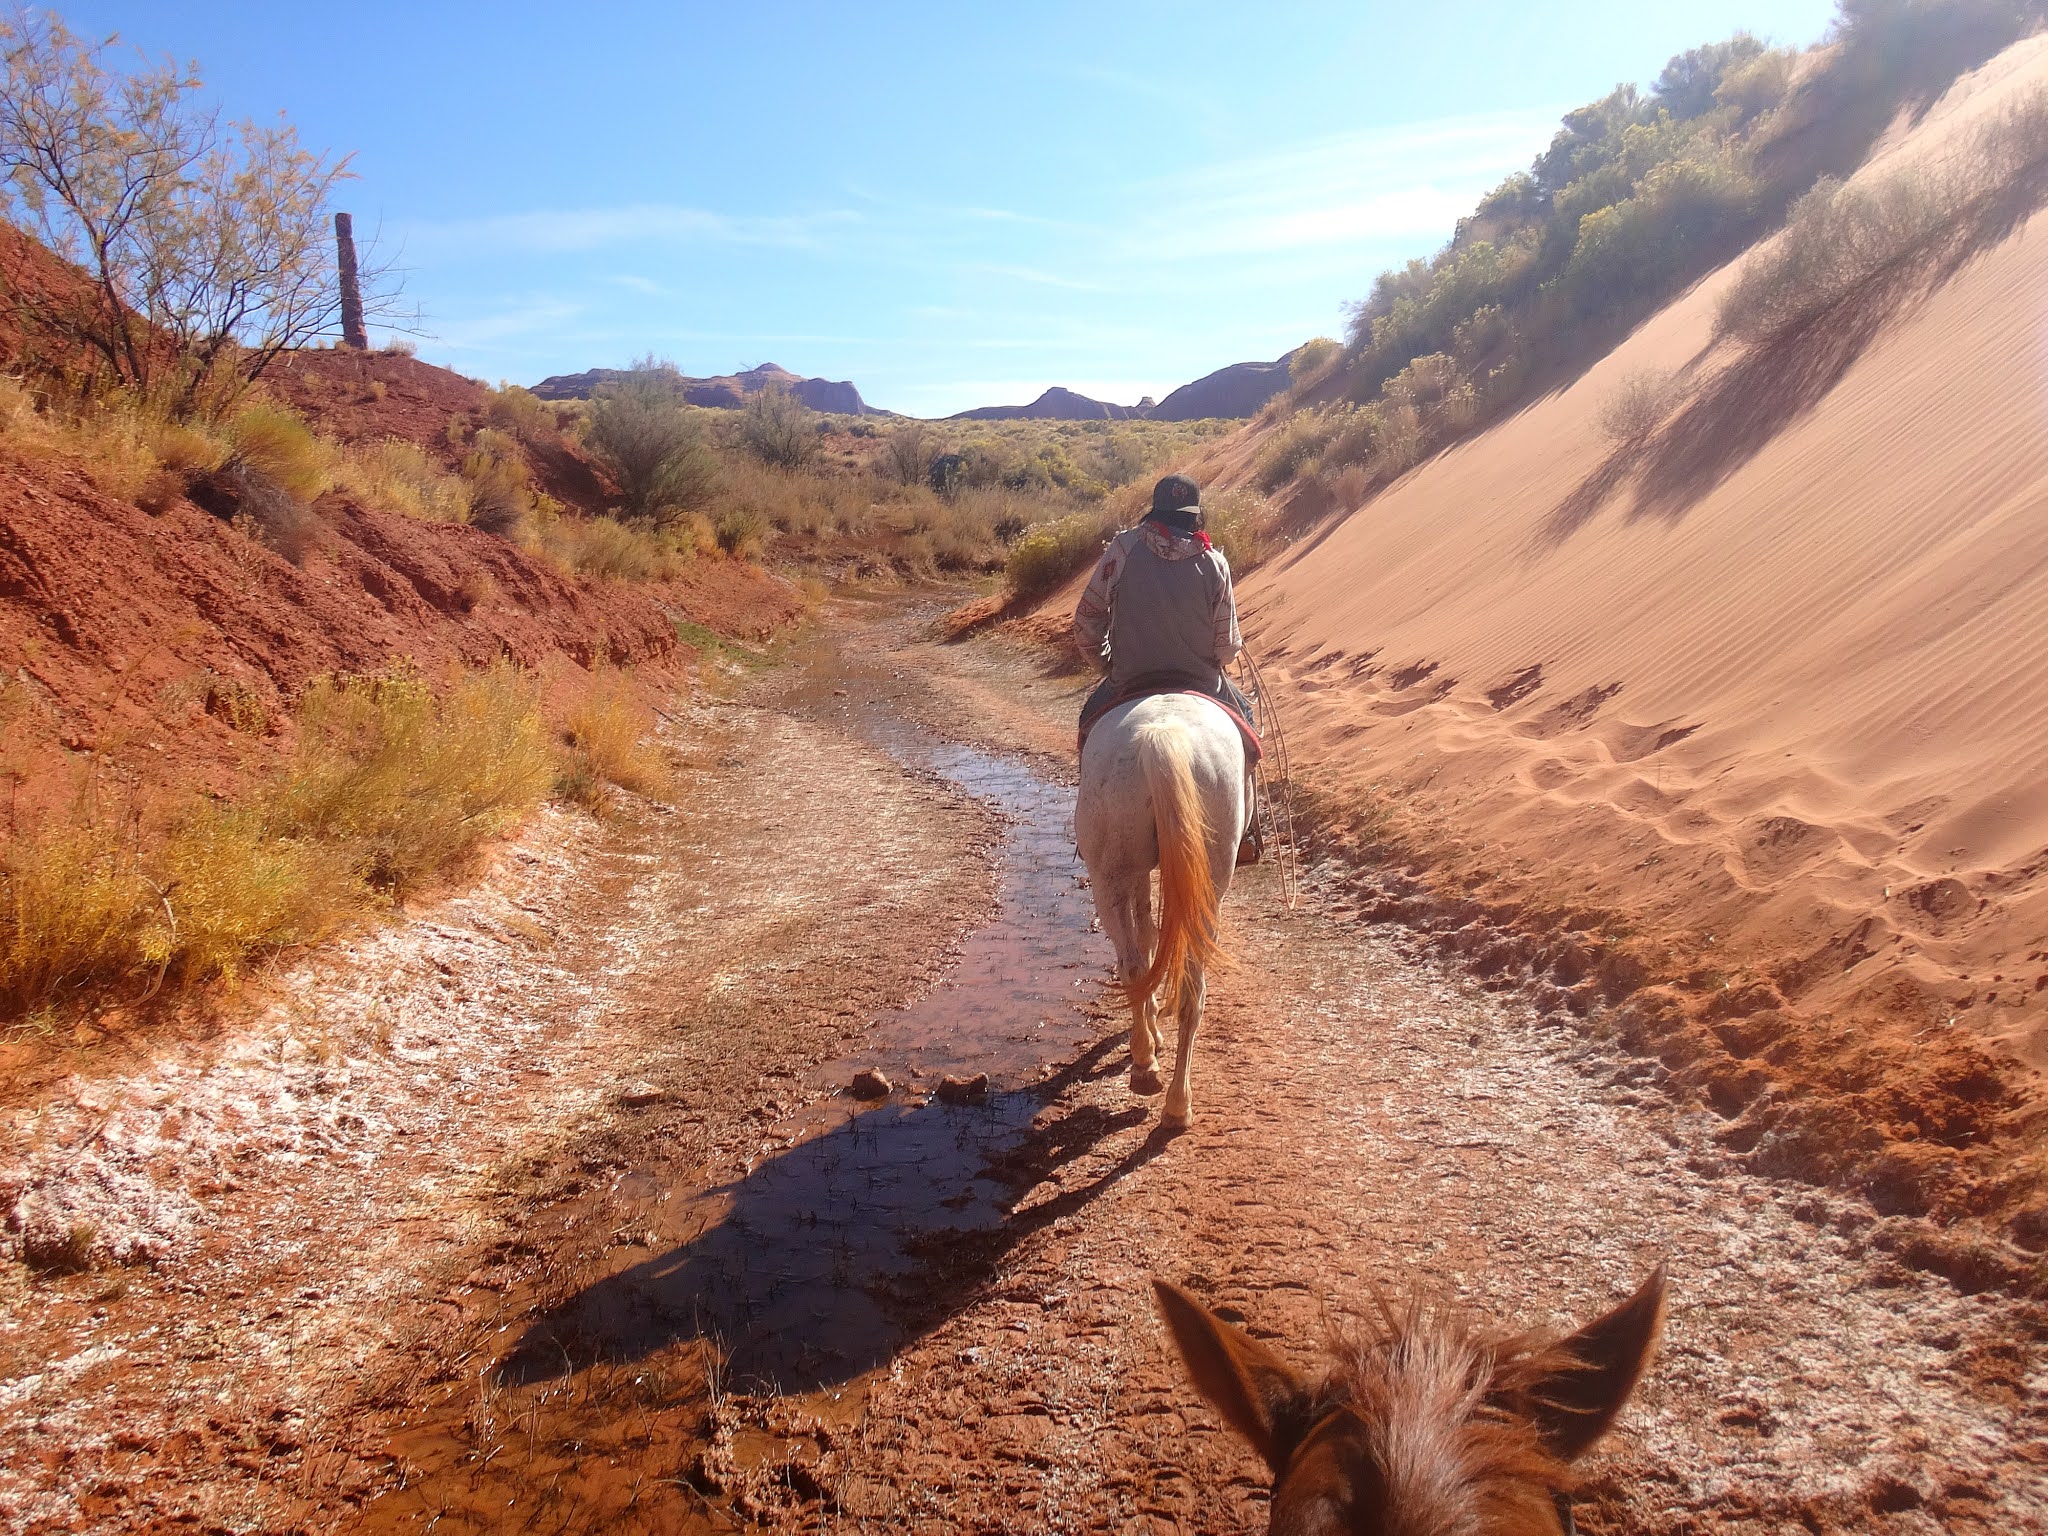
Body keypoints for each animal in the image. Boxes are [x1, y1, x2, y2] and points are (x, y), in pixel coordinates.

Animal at [1073, 696, 1245, 1130]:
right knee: (1183, 988)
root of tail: (1162, 735)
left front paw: (1152, 1035)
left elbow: (1147, 935)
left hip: (1112, 877)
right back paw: (1173, 1098)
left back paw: (1150, 1072)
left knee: (1136, 967)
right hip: (1201, 886)